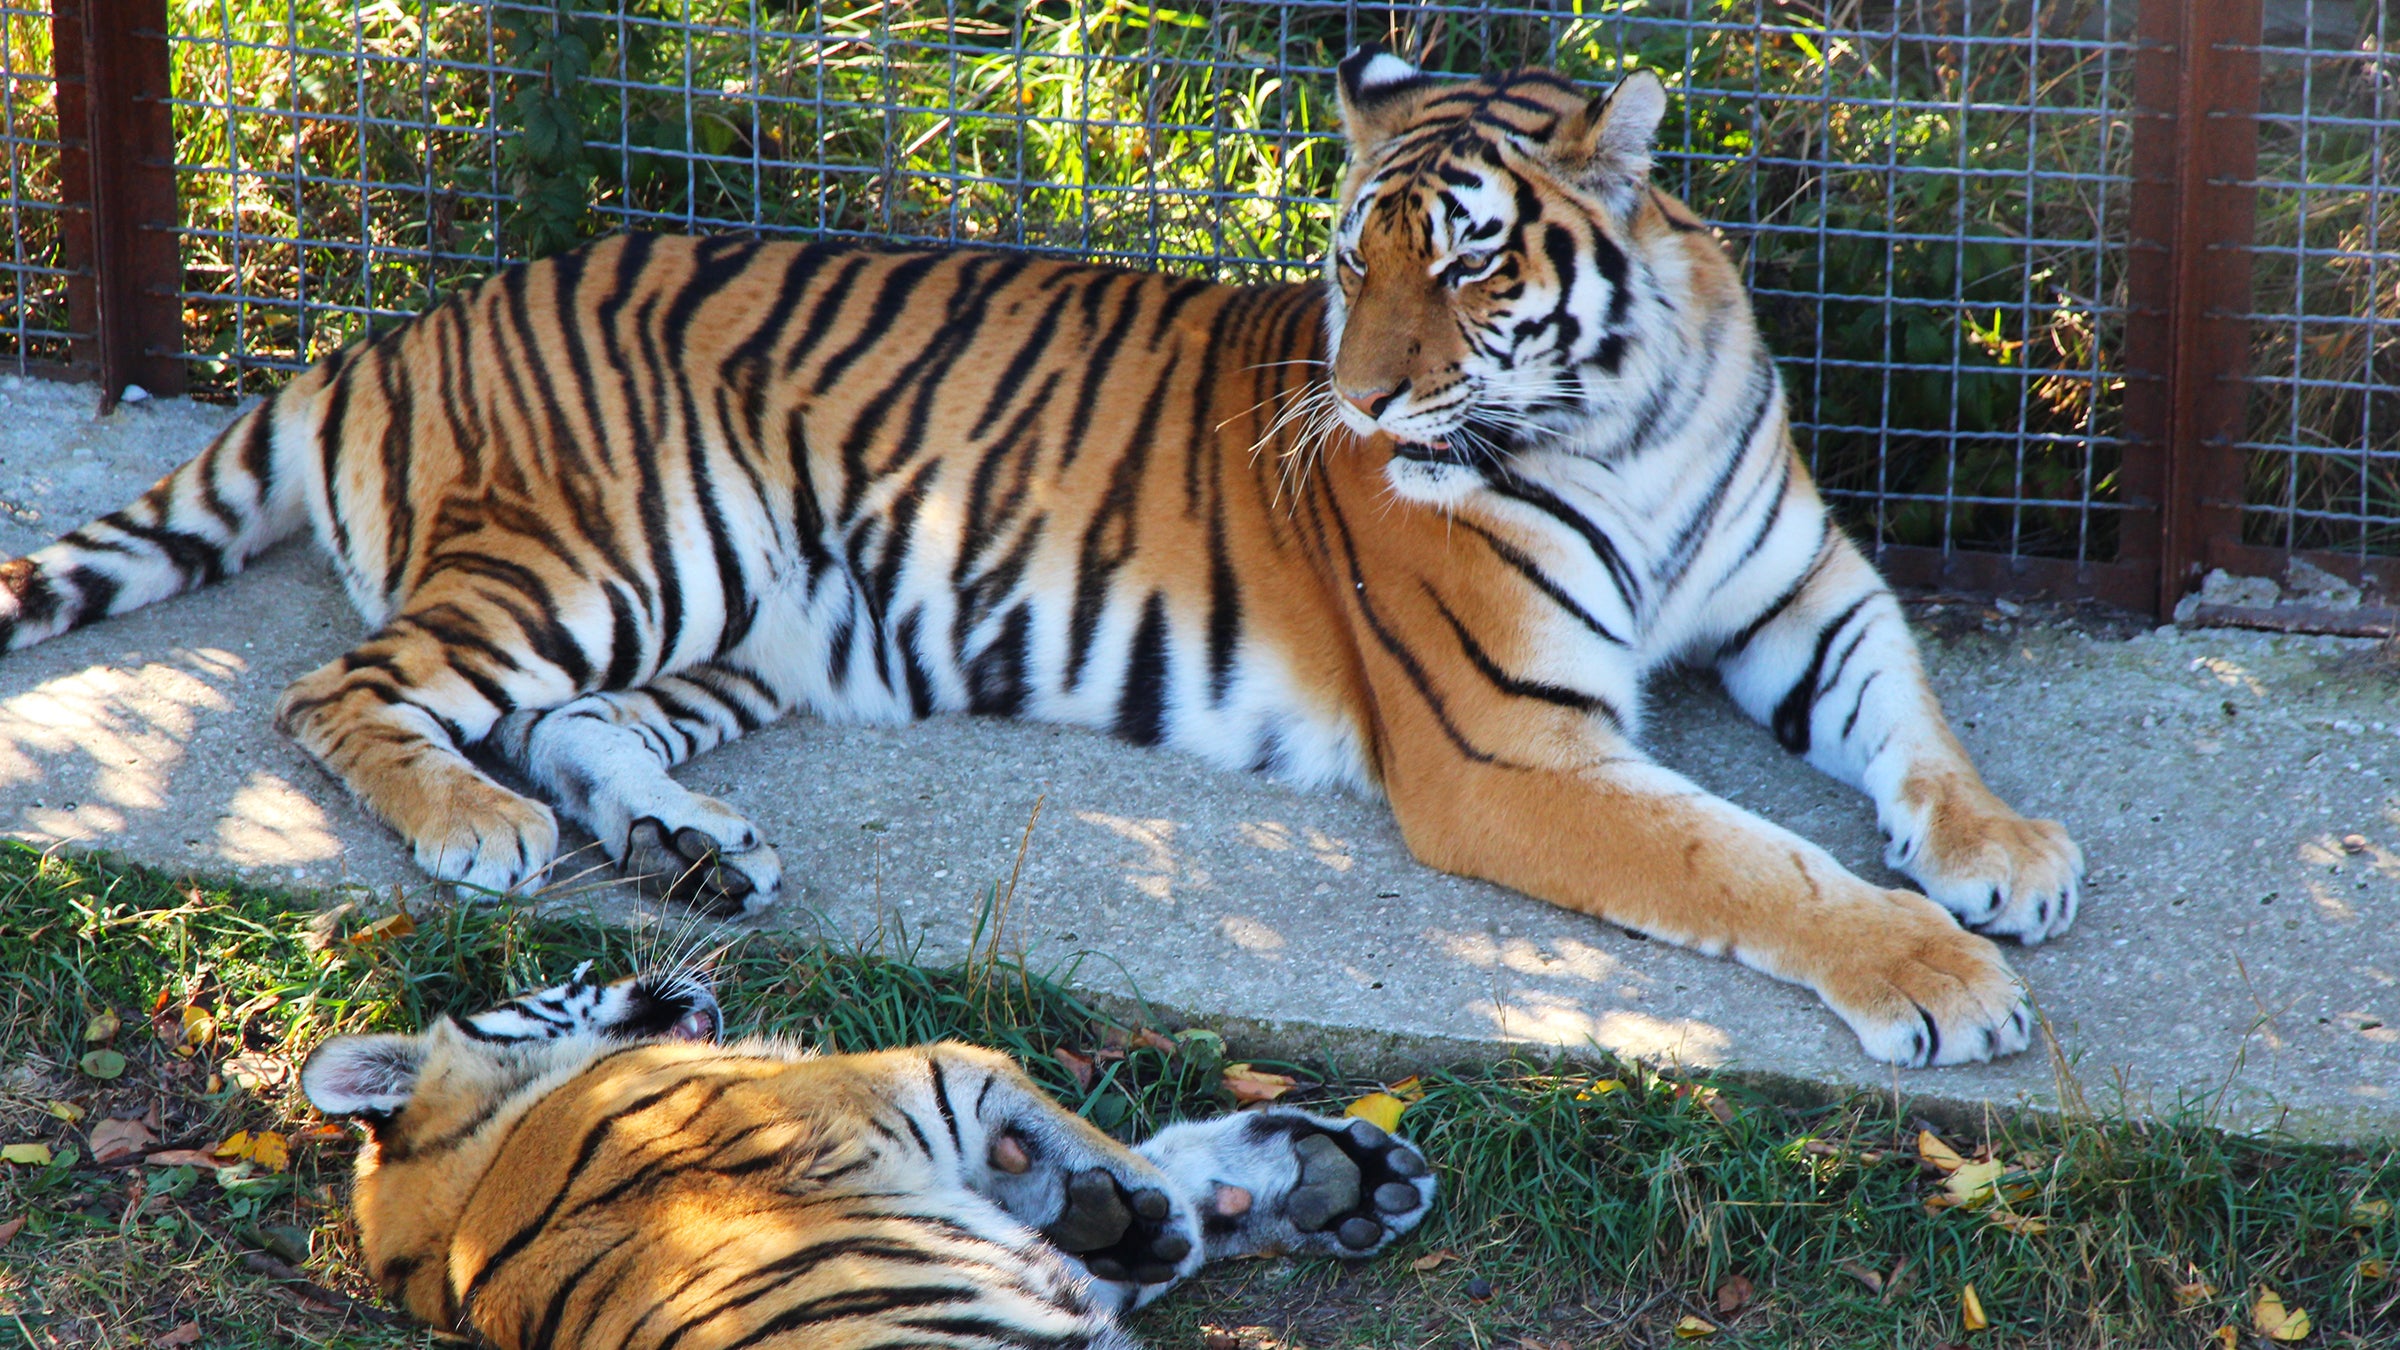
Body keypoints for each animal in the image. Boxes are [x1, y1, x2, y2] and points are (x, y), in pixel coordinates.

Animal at [0, 49, 2083, 1061]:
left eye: (1476, 263)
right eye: (1355, 266)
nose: (1368, 407)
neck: (1622, 418)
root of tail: (405, 322)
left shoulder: (1807, 595)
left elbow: (1913, 717)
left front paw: (2005, 858)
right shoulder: (1514, 745)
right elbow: (1759, 863)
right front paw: (1937, 977)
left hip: (760, 614)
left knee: (581, 724)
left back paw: (692, 849)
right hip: (615, 550)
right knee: (344, 686)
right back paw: (476, 830)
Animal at [297, 960, 1420, 1345]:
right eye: (569, 981)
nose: (672, 976)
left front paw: (1331, 1180)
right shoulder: (901, 1083)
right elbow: (1026, 1093)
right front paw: (1158, 1211)